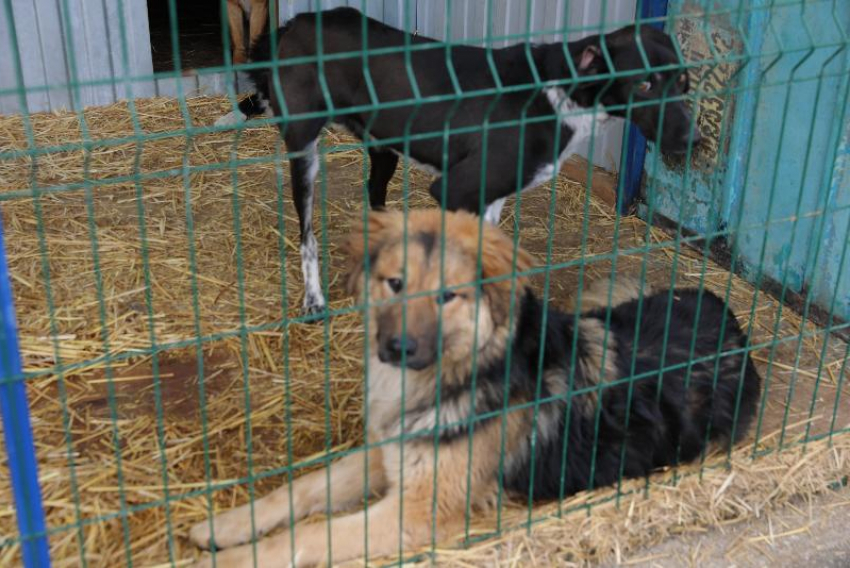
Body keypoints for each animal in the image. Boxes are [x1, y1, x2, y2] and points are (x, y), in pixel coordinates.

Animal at [189, 210, 760, 568]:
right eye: (395, 284)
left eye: (449, 297)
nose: (397, 347)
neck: (453, 377)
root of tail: (728, 314)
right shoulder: (388, 453)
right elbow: (300, 488)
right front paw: (227, 525)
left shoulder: (416, 513)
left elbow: (308, 533)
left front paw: (233, 558)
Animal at [219, 7, 704, 316]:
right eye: (644, 84)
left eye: (684, 82)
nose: (693, 140)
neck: (561, 94)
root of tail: (294, 22)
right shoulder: (457, 188)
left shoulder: (491, 198)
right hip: (304, 148)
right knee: (307, 236)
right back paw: (314, 299)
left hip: (384, 146)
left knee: (375, 199)